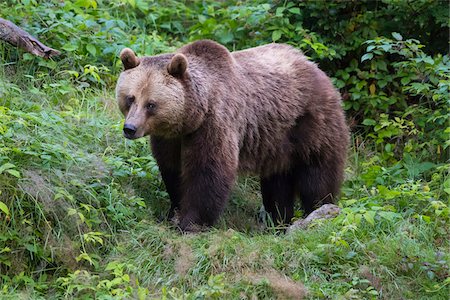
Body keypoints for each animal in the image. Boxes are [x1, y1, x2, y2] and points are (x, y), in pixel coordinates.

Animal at [115, 39, 348, 231]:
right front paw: (173, 212)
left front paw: (191, 223)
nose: (130, 128)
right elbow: (172, 169)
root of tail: (315, 66)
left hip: (311, 123)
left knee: (317, 175)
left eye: (151, 104)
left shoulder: (214, 123)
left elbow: (208, 172)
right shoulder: (170, 138)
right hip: (277, 140)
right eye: (130, 98)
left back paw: (317, 212)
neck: (192, 117)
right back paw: (278, 221)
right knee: (277, 183)